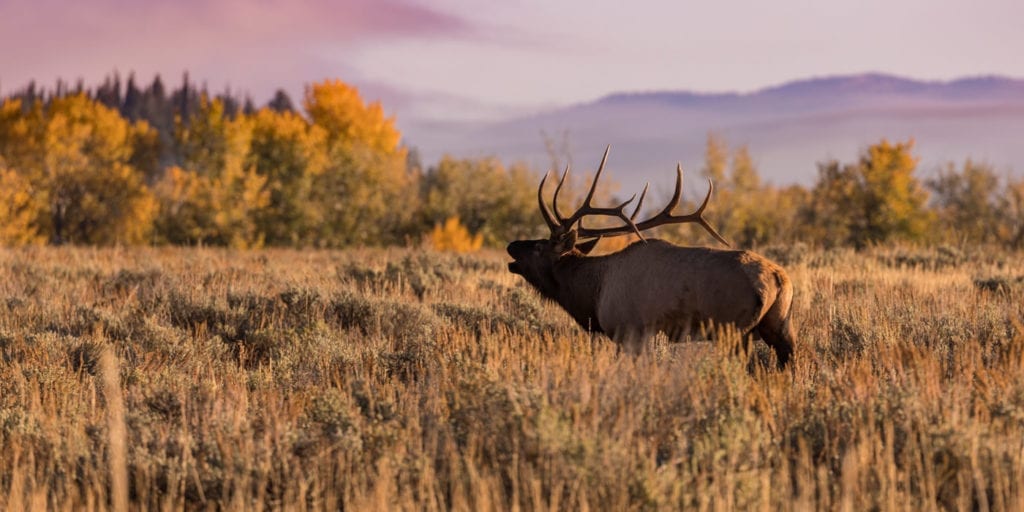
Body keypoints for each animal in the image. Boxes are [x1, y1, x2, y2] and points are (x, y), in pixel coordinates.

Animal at [507, 146, 794, 366]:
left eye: (539, 246)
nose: (511, 245)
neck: (593, 293)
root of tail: (779, 279)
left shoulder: (629, 331)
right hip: (779, 325)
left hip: (734, 329)